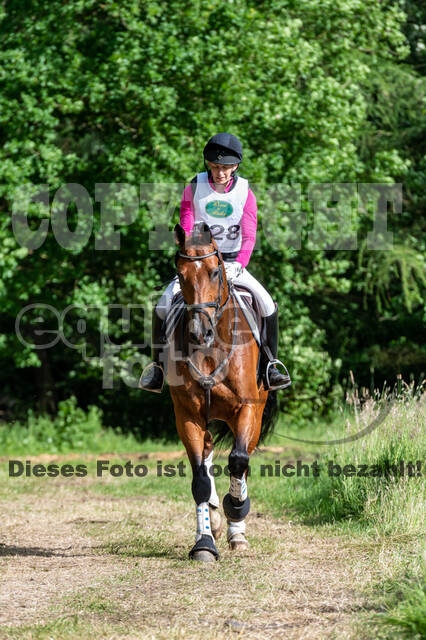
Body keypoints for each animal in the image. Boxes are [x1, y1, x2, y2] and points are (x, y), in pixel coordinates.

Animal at [165, 222, 278, 562]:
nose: (197, 332)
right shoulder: (187, 415)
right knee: (207, 453)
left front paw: (236, 508)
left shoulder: (247, 409)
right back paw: (213, 520)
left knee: (242, 458)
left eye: (215, 272)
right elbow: (200, 480)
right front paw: (203, 543)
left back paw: (235, 529)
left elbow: (239, 460)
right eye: (180, 273)